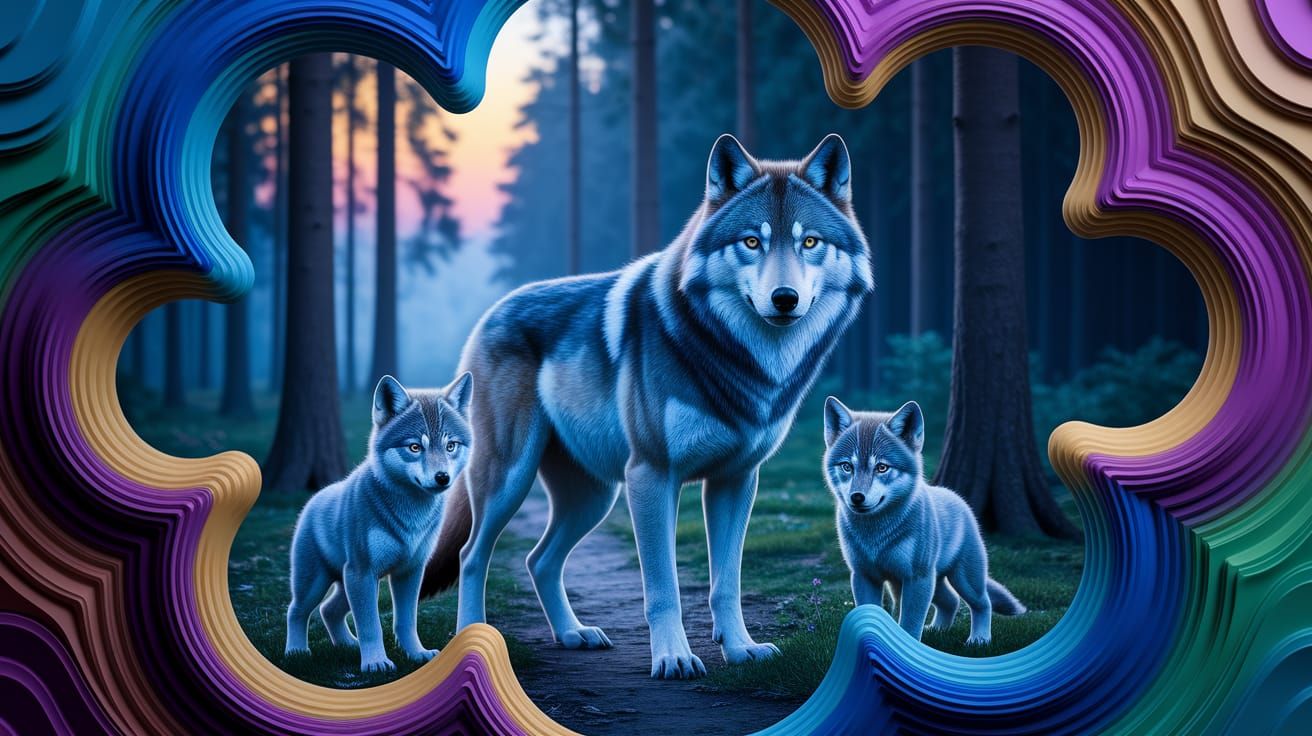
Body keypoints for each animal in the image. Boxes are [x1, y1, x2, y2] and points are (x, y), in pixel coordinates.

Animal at [284, 373, 473, 672]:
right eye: (415, 447)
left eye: (450, 445)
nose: (442, 477)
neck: (412, 514)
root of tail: (314, 499)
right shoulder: (362, 572)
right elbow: (371, 625)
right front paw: (375, 663)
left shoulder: (410, 571)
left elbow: (406, 621)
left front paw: (416, 654)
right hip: (317, 583)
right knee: (297, 611)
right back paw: (296, 652)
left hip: (345, 583)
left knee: (328, 610)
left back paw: (348, 645)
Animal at [420, 134, 873, 679]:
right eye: (751, 242)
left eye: (809, 242)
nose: (784, 299)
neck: (738, 361)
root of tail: (493, 311)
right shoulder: (652, 476)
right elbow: (663, 588)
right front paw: (675, 657)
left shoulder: (736, 480)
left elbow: (727, 584)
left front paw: (741, 649)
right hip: (512, 480)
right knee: (471, 554)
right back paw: (473, 637)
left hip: (595, 496)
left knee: (538, 559)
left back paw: (574, 634)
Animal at [822, 397, 1025, 644]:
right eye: (846, 466)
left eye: (882, 467)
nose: (857, 497)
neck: (876, 534)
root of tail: (958, 498)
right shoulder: (864, 577)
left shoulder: (917, 579)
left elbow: (910, 625)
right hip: (928, 583)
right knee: (951, 601)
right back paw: (937, 630)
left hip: (963, 580)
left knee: (982, 603)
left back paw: (979, 639)